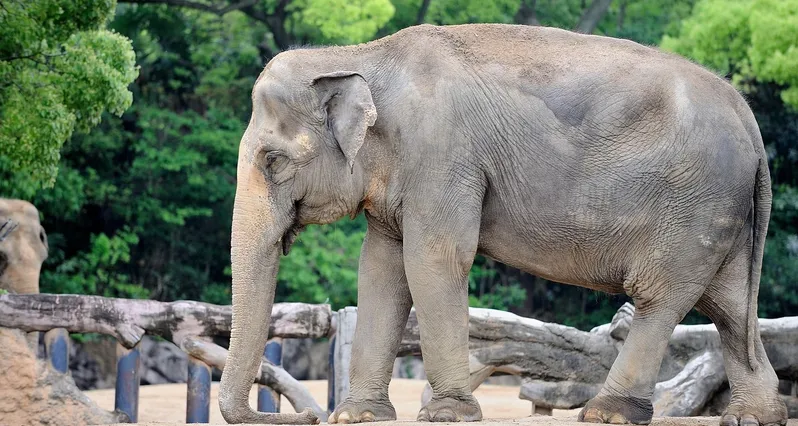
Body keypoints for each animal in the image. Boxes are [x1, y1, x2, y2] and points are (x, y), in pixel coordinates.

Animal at [218, 24, 788, 426]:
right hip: (722, 214)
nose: (304, 415)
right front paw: (358, 416)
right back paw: (753, 417)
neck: (359, 55)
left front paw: (447, 414)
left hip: (694, 205)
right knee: (731, 306)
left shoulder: (444, 157)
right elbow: (381, 270)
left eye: (272, 161)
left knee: (661, 298)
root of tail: (751, 121)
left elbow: (434, 260)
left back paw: (609, 413)